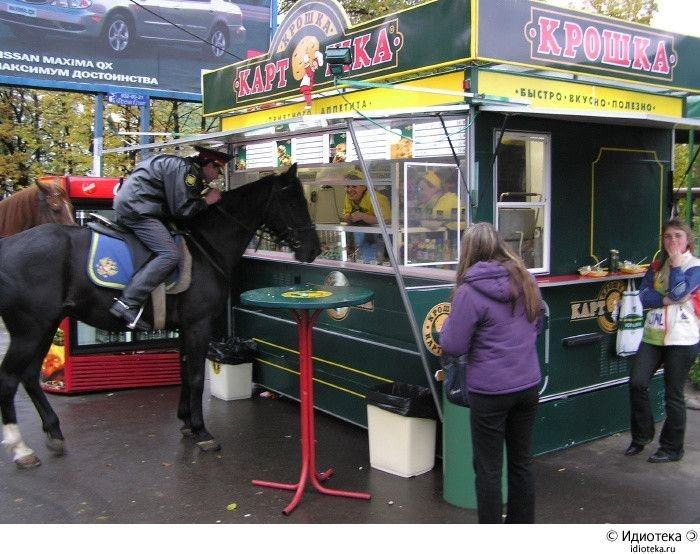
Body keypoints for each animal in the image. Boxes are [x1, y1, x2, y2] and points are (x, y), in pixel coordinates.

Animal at [0, 163, 320, 466]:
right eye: (293, 200)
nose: (314, 249)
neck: (206, 247)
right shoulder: (199, 324)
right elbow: (195, 377)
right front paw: (202, 431)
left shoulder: (185, 327)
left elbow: (184, 371)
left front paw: (186, 422)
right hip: (29, 330)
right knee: (9, 378)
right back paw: (21, 448)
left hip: (45, 326)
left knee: (29, 376)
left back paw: (53, 431)